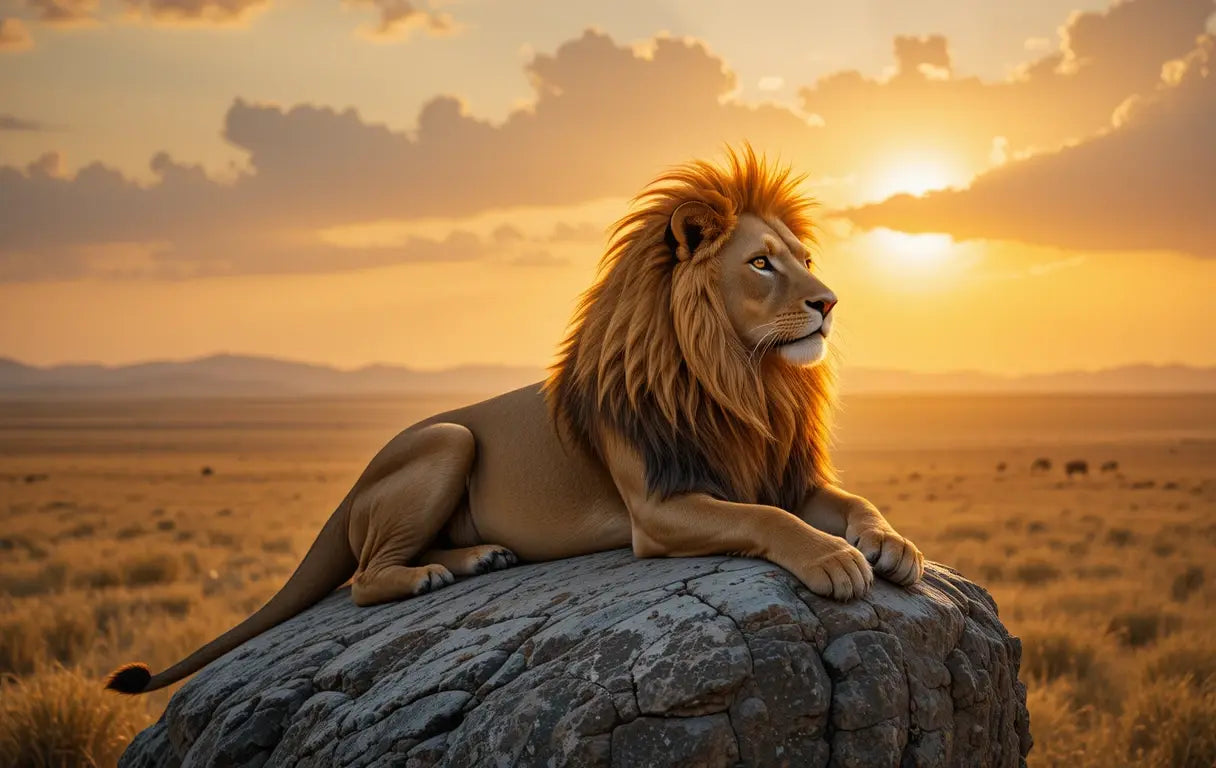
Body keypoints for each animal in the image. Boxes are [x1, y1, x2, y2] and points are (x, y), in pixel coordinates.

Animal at [106, 145, 924, 695]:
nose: (829, 302)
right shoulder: (658, 510)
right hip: (447, 438)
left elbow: (853, 501)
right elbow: (766, 520)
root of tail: (356, 483)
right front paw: (834, 560)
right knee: (366, 578)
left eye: (804, 257)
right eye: (760, 264)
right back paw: (435, 574)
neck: (744, 379)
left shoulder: (783, 471)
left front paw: (893, 545)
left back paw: (478, 558)